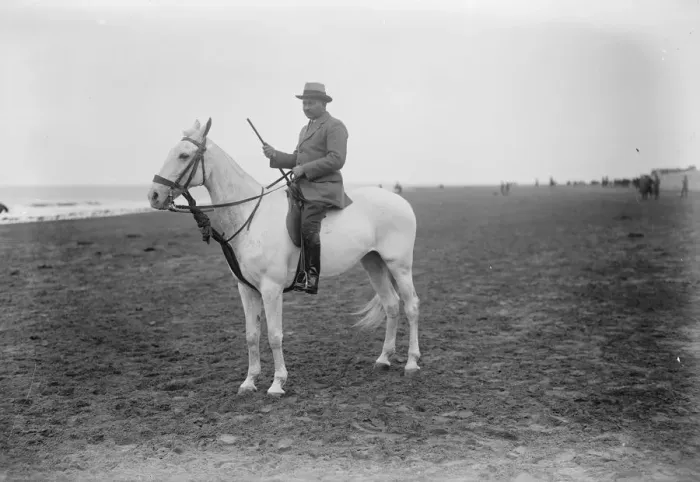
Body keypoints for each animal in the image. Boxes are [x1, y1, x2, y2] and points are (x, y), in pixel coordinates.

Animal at [147, 118, 421, 396]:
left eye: (184, 155)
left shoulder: (271, 288)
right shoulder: (246, 289)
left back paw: (411, 362)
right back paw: (384, 359)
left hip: (399, 266)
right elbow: (251, 335)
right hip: (373, 263)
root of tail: (401, 201)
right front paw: (249, 381)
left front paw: (277, 383)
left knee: (411, 306)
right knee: (391, 305)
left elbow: (274, 335)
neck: (251, 216)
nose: (154, 195)